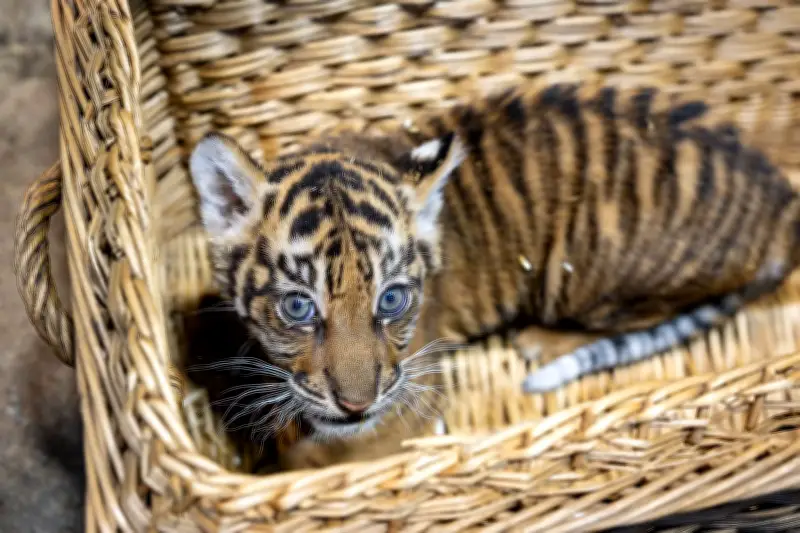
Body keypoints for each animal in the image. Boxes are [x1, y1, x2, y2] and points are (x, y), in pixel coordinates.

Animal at [187, 82, 800, 468]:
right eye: (298, 306)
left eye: (391, 300)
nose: (356, 406)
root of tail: (781, 201)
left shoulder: (407, 404)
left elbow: (319, 459)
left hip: (584, 269)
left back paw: (541, 341)